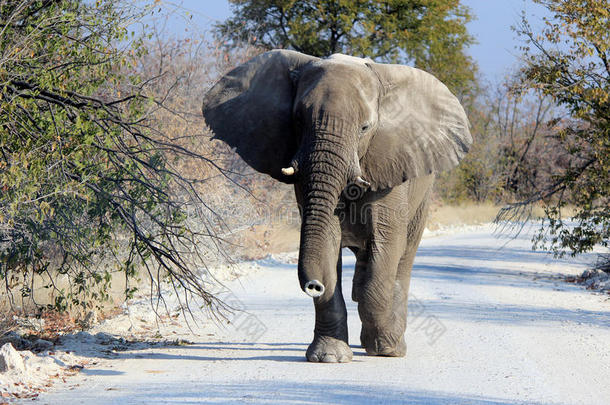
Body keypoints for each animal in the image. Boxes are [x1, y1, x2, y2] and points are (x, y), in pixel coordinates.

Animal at [202, 49, 468, 362]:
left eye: (365, 128)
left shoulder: (390, 166)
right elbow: (328, 238)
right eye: (298, 120)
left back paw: (392, 346)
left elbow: (385, 246)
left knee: (403, 258)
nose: (312, 286)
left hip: (422, 194)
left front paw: (385, 350)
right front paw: (329, 357)